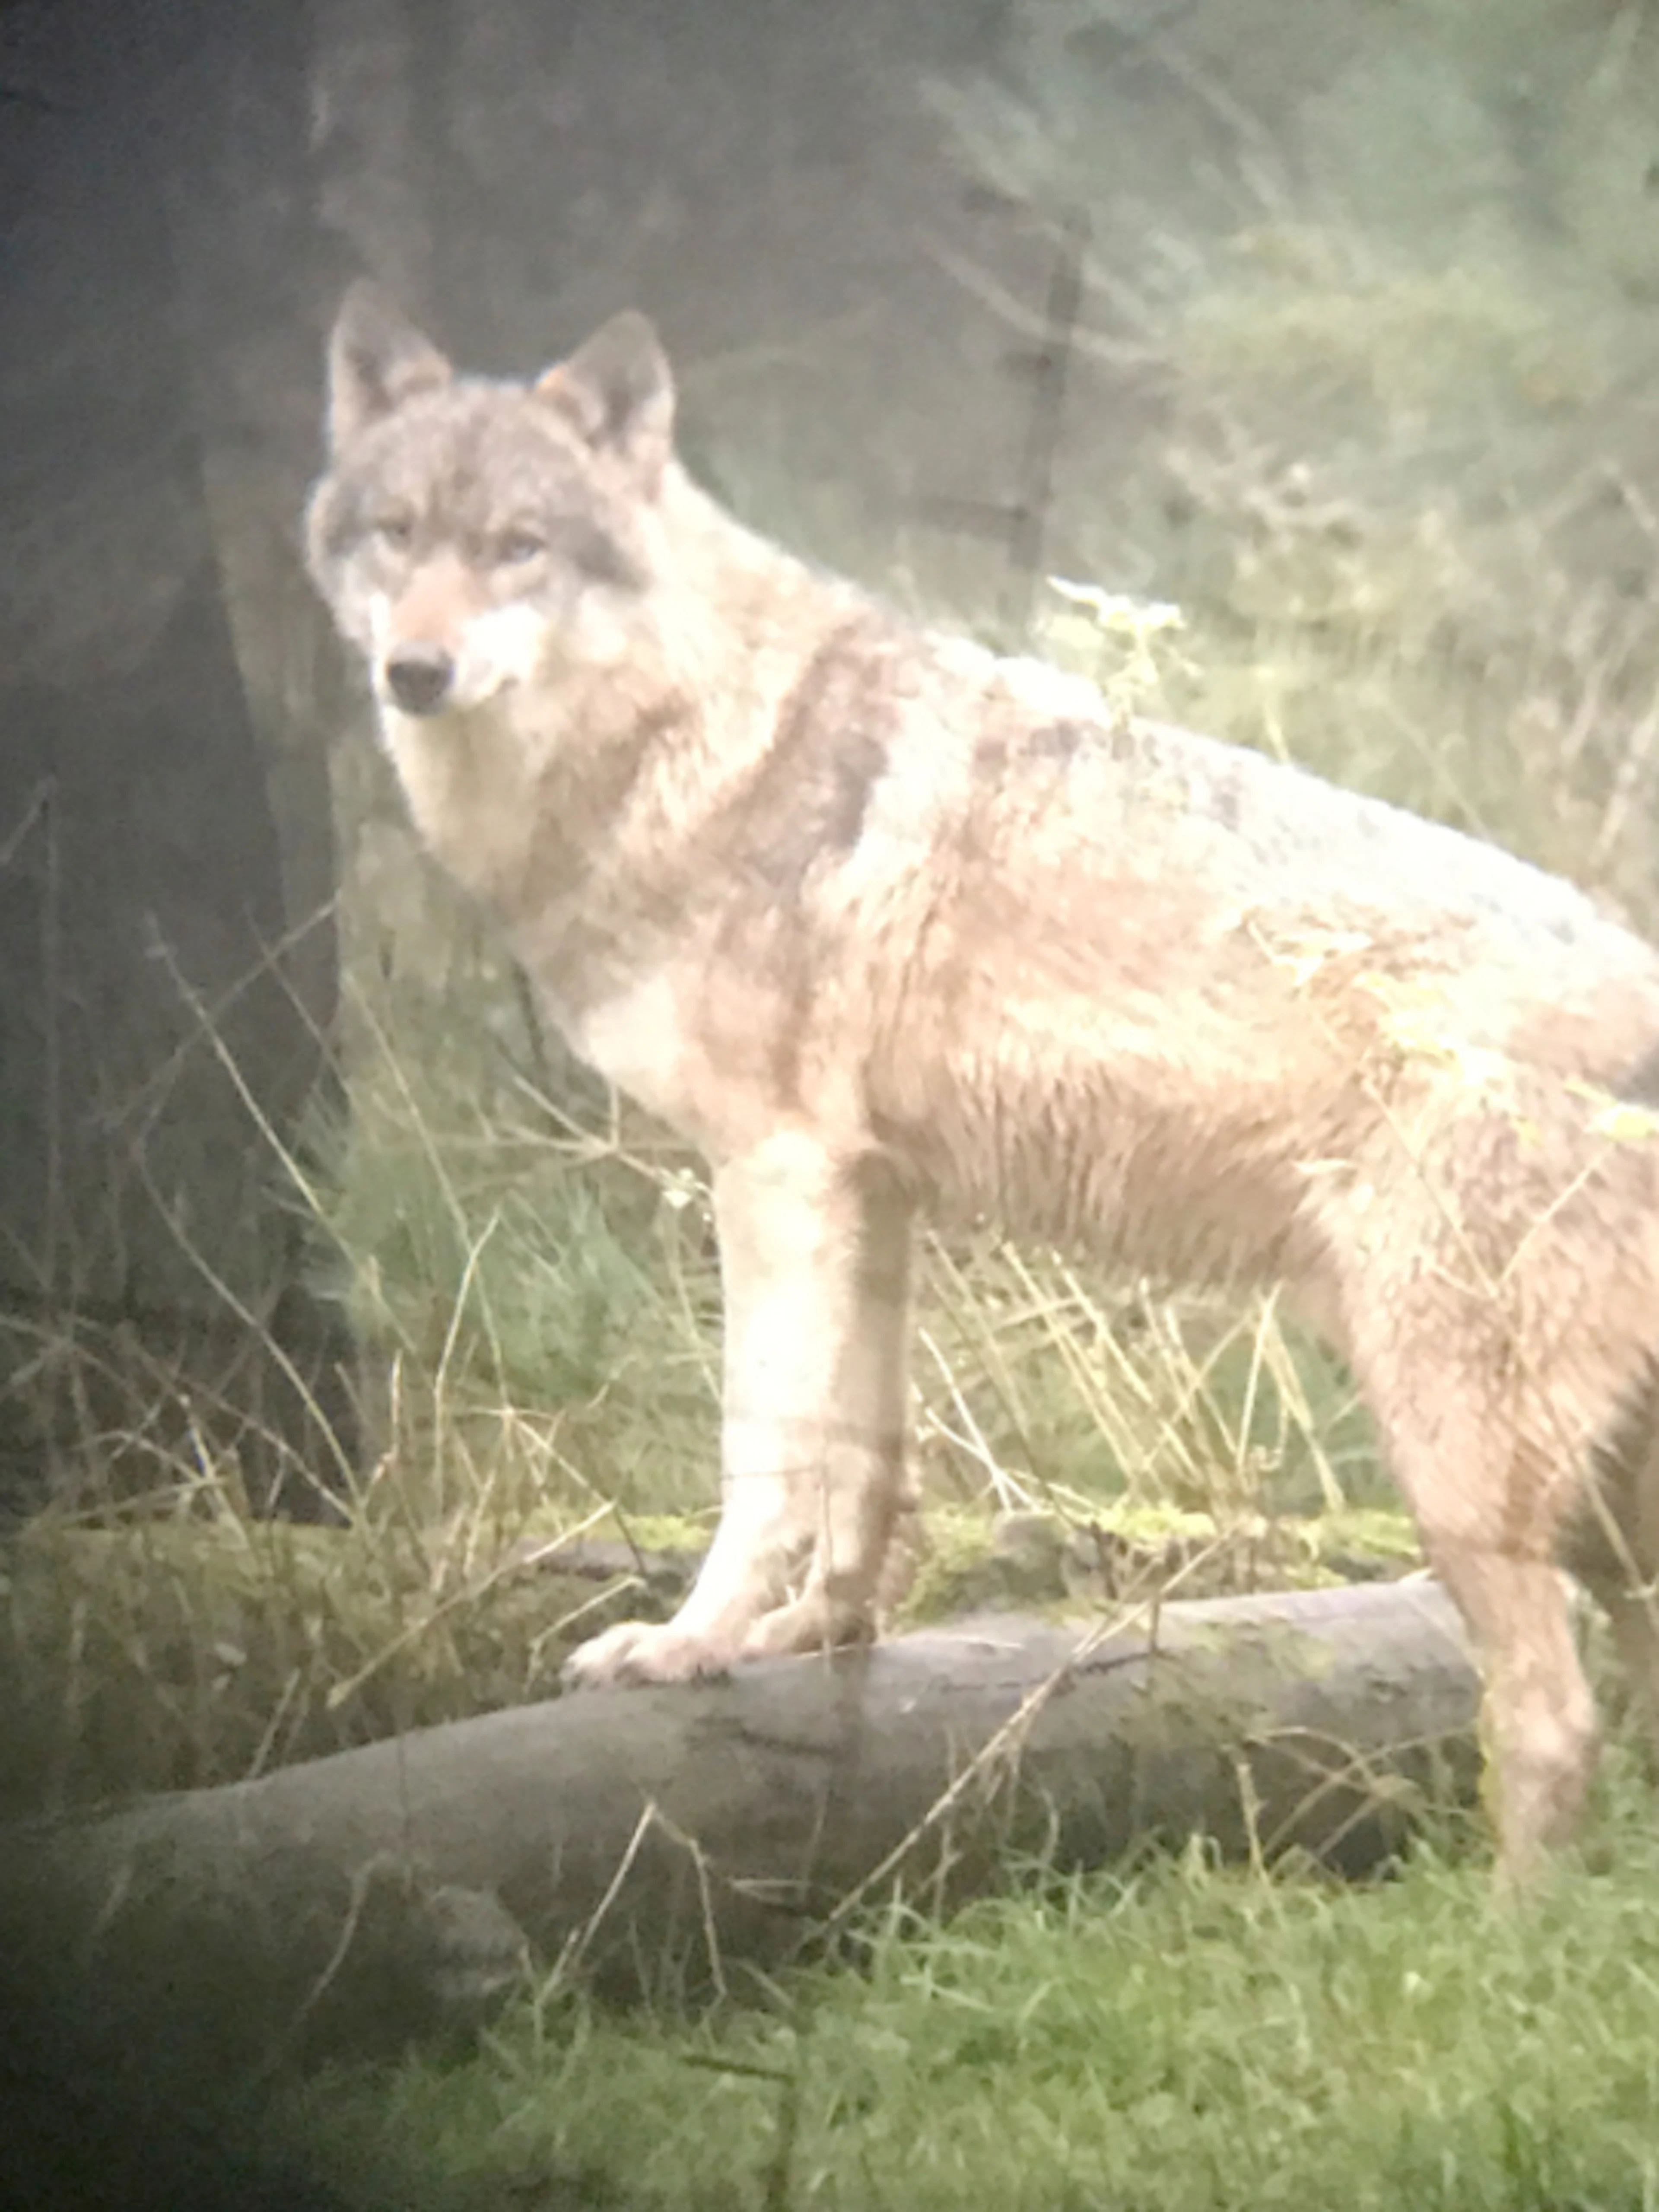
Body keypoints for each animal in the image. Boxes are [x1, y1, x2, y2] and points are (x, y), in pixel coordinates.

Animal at [307, 279, 1659, 1883]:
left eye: (520, 544)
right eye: (398, 533)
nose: (416, 671)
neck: (687, 741)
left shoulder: (770, 1174)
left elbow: (762, 1456)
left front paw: (689, 1645)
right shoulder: (871, 1193)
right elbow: (866, 1460)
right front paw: (815, 1634)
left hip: (1456, 1467)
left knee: (1550, 1723)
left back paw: (1499, 1931)